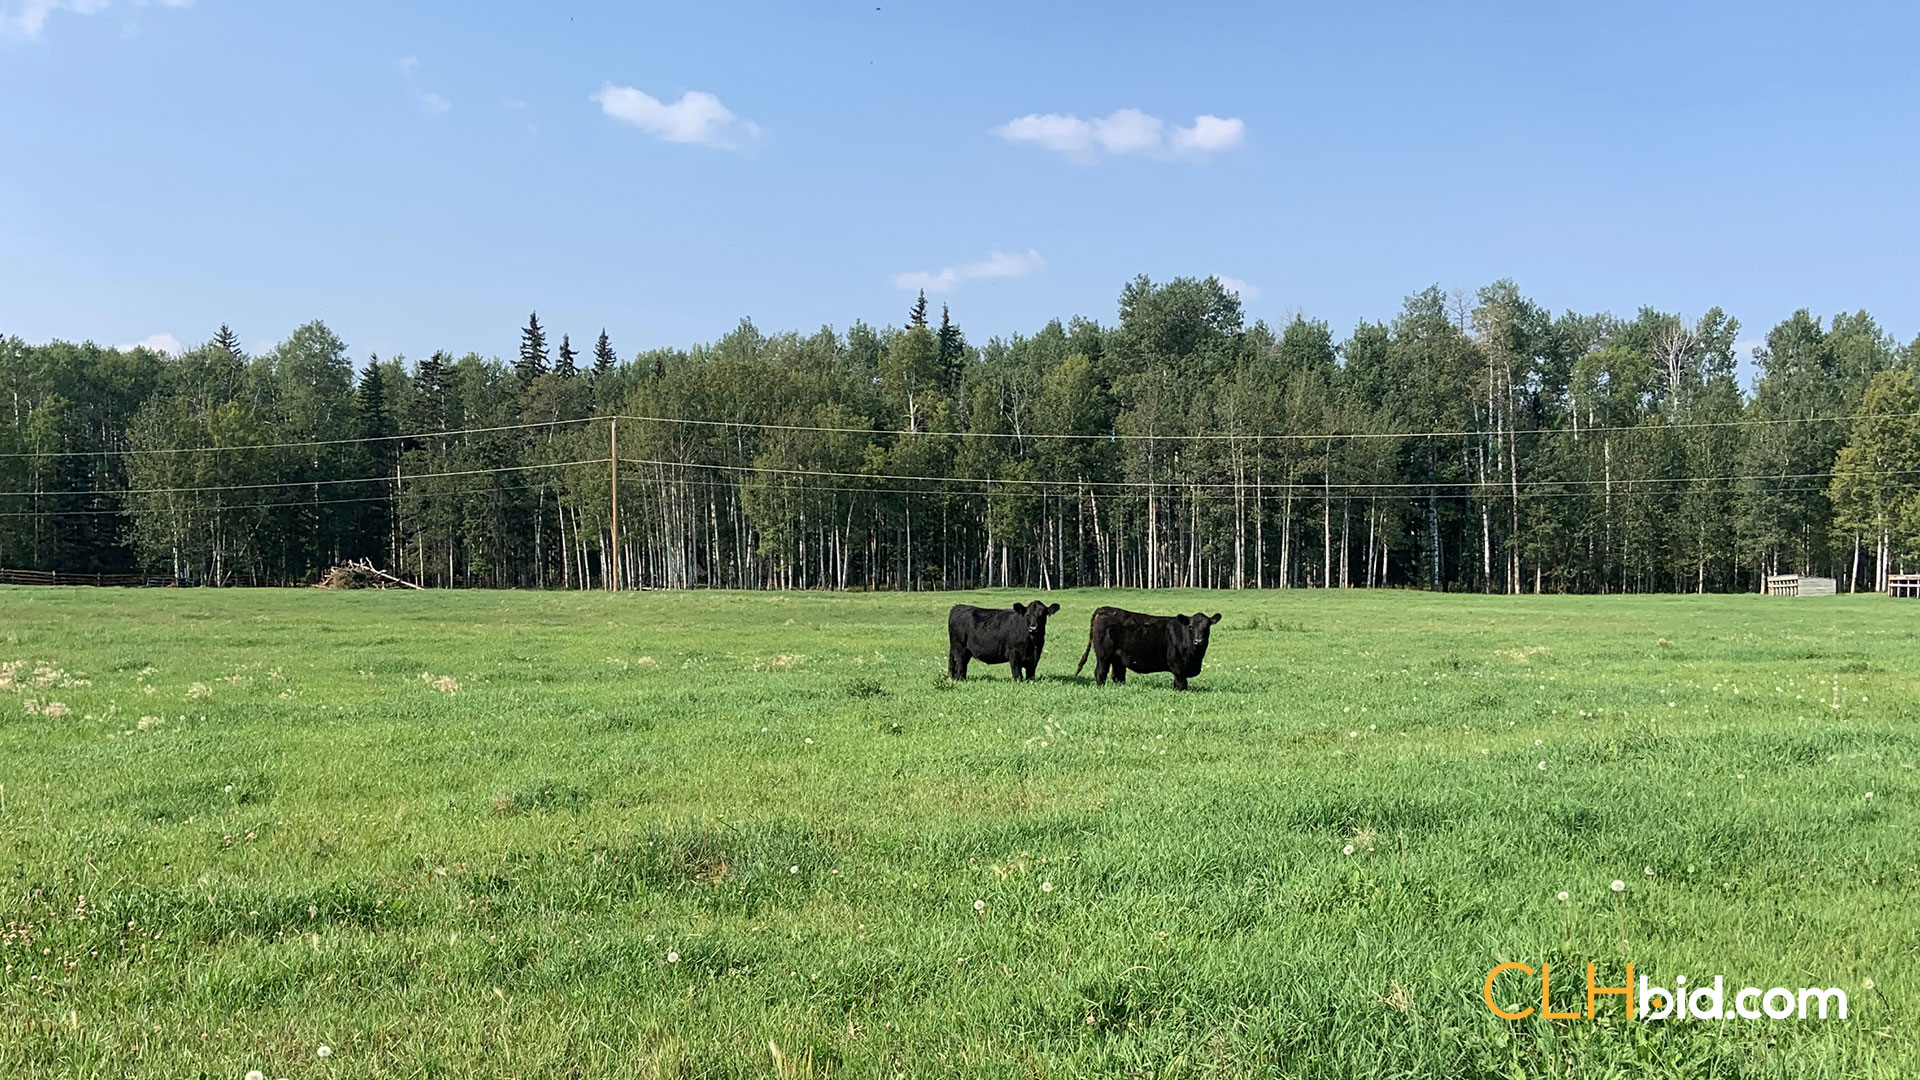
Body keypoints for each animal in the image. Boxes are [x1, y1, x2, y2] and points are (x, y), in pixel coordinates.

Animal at [1075, 606, 1223, 690]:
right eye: (1191, 627)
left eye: (1207, 627)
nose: (1199, 641)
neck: (1195, 657)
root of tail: (1103, 609)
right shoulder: (1178, 666)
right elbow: (1182, 684)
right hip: (1104, 656)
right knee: (1100, 673)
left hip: (1117, 658)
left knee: (1118, 676)